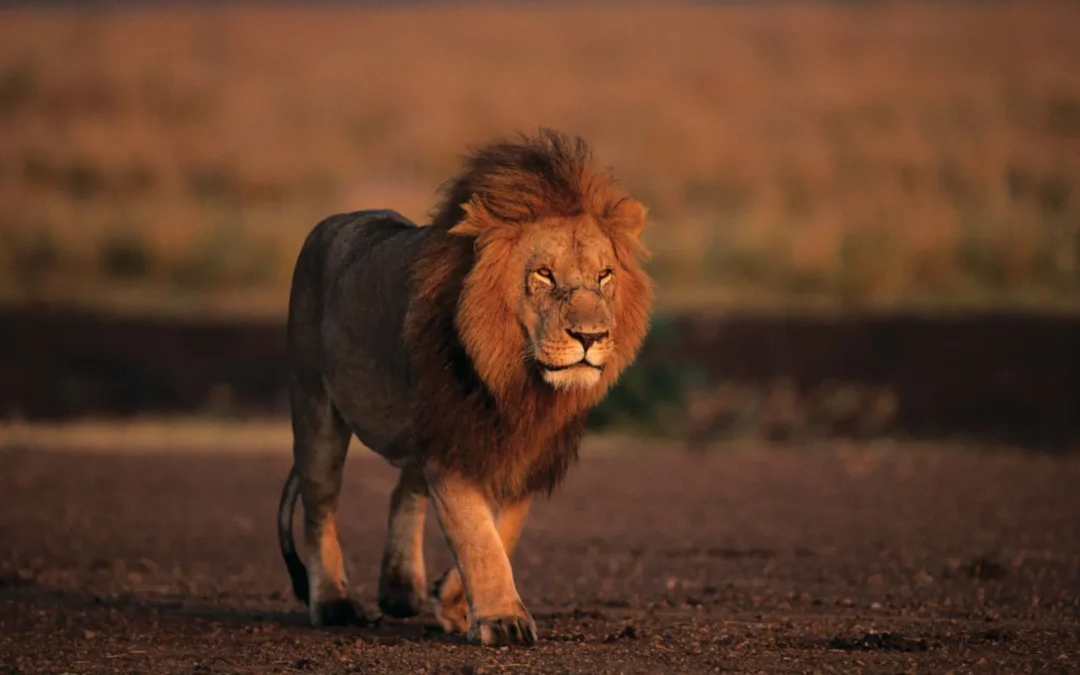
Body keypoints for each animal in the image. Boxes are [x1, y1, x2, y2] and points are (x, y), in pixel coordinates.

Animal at [276, 129, 653, 646]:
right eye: (544, 274)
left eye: (605, 276)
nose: (591, 337)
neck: (518, 381)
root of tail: (335, 221)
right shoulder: (453, 440)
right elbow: (477, 536)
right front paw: (503, 619)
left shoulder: (523, 450)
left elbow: (502, 531)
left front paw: (454, 602)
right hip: (316, 408)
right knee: (321, 507)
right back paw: (334, 603)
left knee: (404, 489)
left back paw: (401, 589)